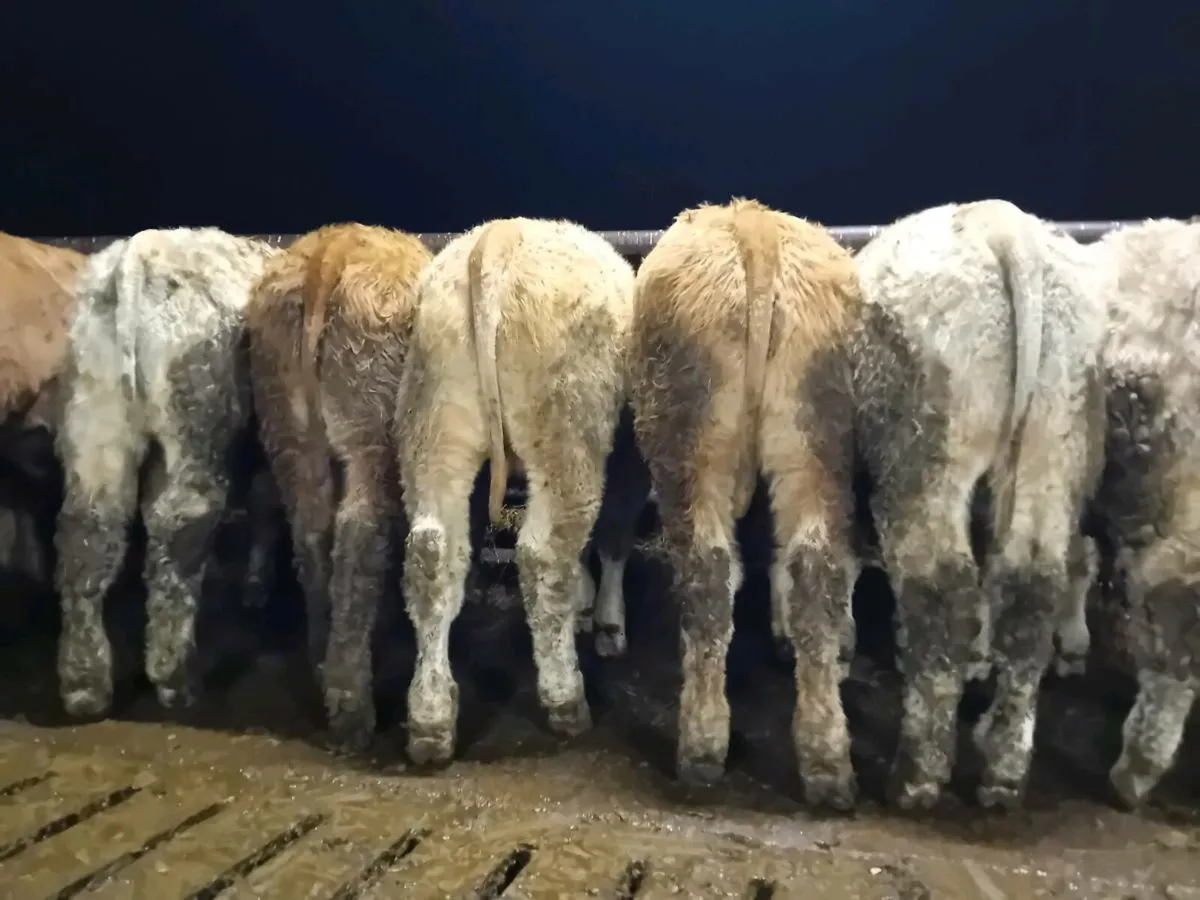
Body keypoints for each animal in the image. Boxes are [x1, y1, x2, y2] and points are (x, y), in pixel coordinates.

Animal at [54, 227, 278, 717]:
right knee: (180, 526)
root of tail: (144, 249)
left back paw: (84, 685)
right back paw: (176, 679)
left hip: (97, 423)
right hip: (195, 426)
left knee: (88, 531)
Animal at [246, 222, 432, 751]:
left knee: (311, 532)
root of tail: (333, 247)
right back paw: (353, 706)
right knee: (360, 533)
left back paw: (323, 666)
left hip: (287, 421)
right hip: (372, 425)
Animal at [396, 216, 636, 766]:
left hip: (435, 426)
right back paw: (566, 698)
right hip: (569, 434)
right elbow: (613, 539)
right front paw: (607, 623)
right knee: (544, 554)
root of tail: (501, 237)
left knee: (433, 554)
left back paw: (430, 718)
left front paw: (586, 609)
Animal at [628, 198, 864, 809]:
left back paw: (701, 747)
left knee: (707, 573)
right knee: (814, 571)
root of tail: (755, 225)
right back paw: (827, 761)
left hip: (689, 449)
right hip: (817, 441)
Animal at [852, 199, 1107, 811]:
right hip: (1052, 445)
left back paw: (915, 776)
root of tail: (999, 222)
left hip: (924, 460)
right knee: (1031, 590)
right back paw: (1003, 768)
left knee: (943, 594)